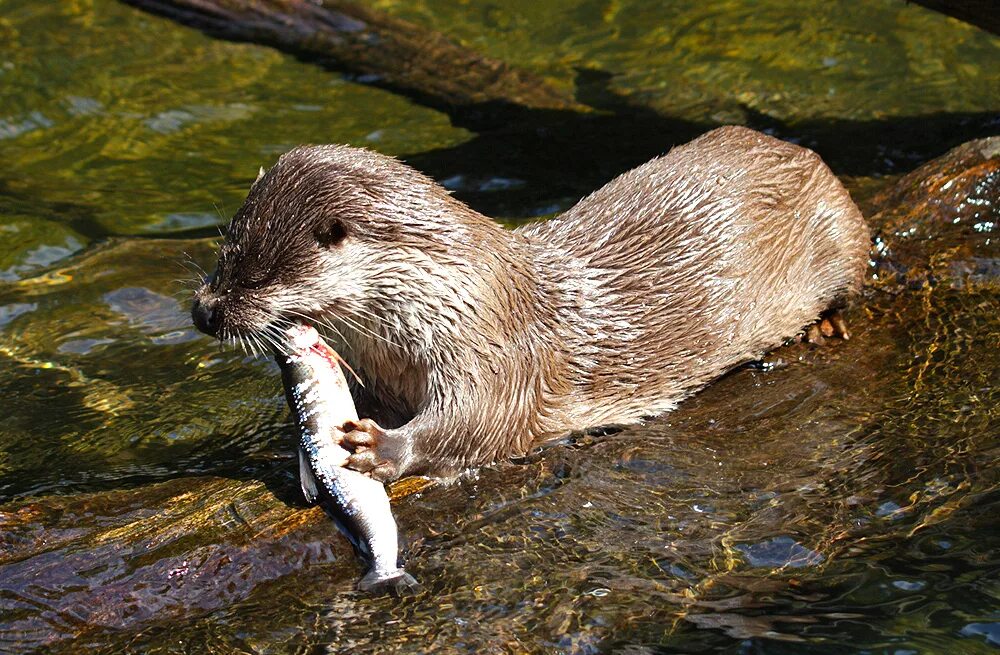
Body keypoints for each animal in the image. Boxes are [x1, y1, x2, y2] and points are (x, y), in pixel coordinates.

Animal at [191, 125, 872, 482]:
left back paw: (826, 325)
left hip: (839, 230)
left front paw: (381, 448)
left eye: (258, 273)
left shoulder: (497, 352)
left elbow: (479, 422)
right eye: (227, 250)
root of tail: (798, 150)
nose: (205, 310)